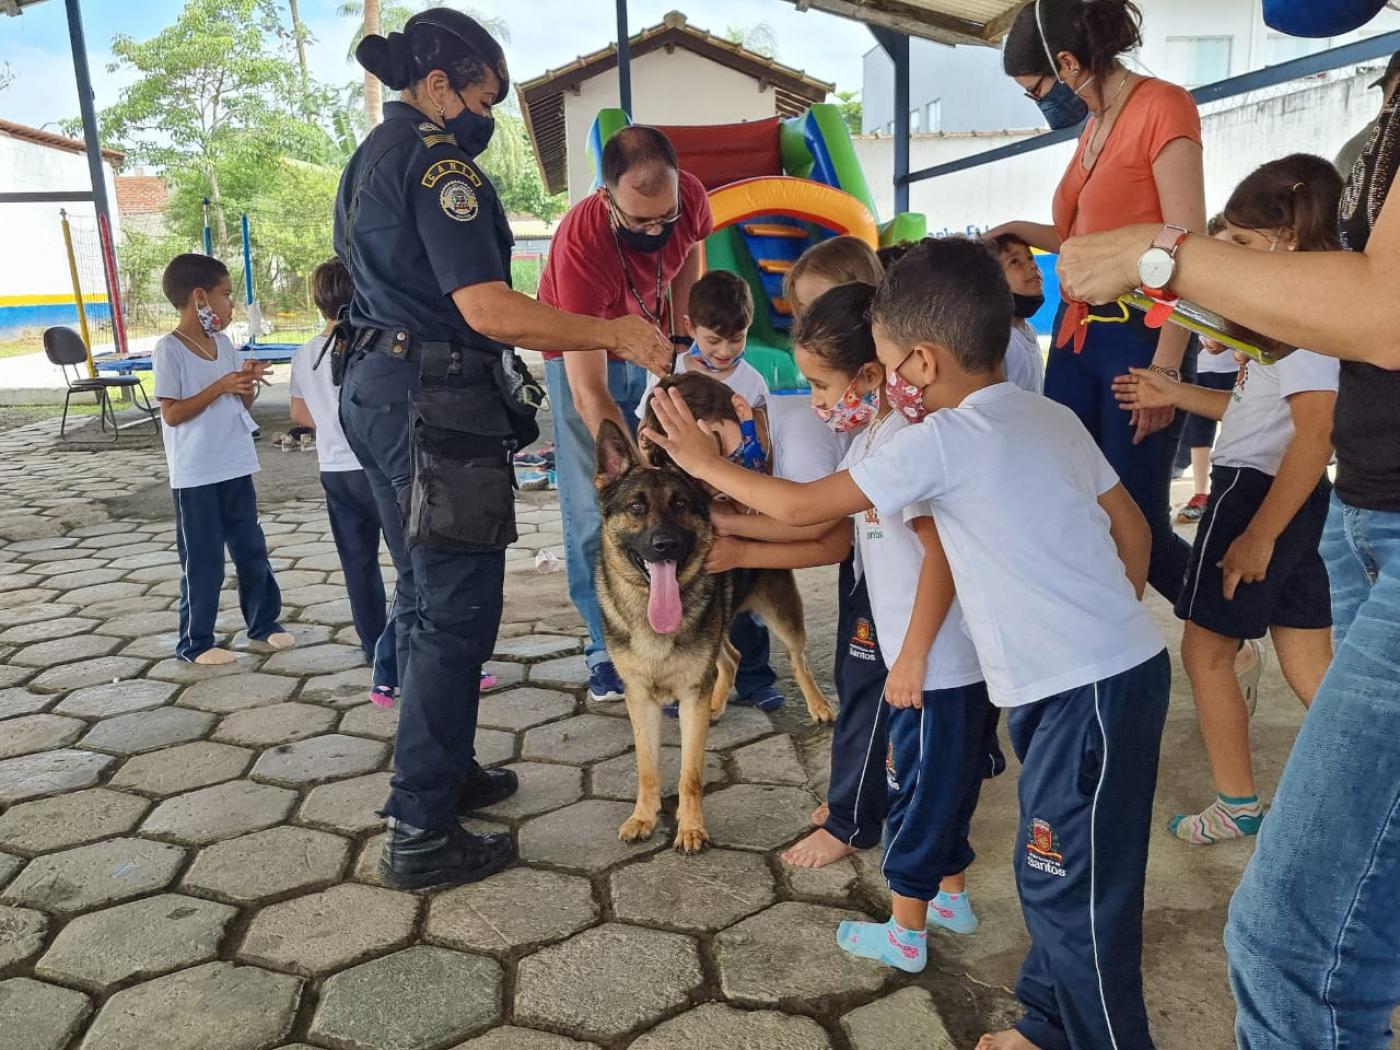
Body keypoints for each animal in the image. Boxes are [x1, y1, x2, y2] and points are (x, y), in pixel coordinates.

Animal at [590, 420, 828, 856]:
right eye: (636, 507)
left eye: (682, 504)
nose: (665, 544)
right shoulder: (641, 698)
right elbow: (647, 768)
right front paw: (644, 818)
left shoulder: (690, 696)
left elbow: (691, 773)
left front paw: (690, 828)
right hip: (716, 634)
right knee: (731, 658)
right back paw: (718, 704)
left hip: (781, 614)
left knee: (797, 659)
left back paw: (818, 705)